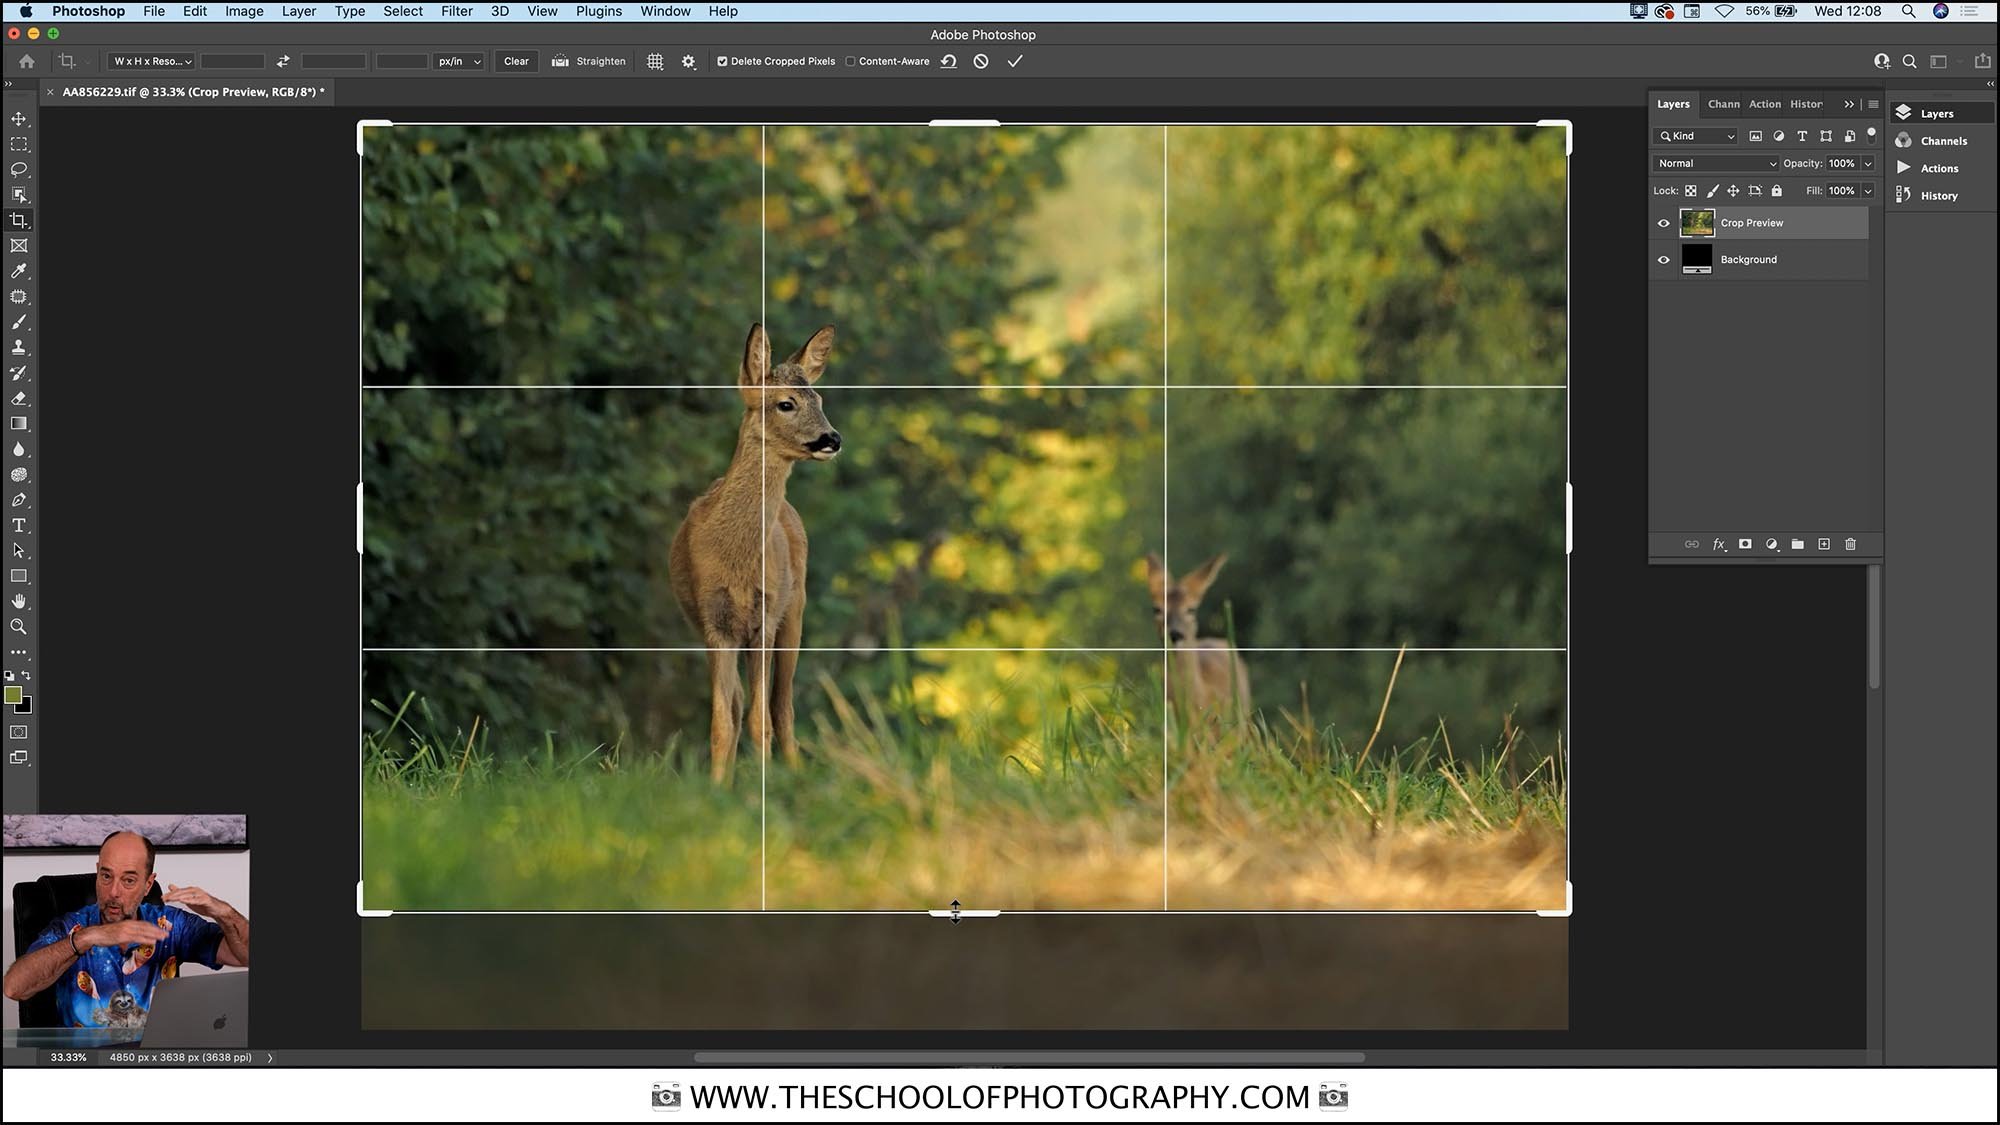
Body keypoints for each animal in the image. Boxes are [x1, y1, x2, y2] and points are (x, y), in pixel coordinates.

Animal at [670, 323, 841, 782]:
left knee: (782, 706)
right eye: (786, 403)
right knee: (738, 702)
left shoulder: (765, 618)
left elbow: (760, 718)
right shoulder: (714, 622)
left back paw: (793, 773)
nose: (832, 439)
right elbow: (722, 718)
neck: (736, 560)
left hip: (795, 609)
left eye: (820, 399)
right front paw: (719, 787)